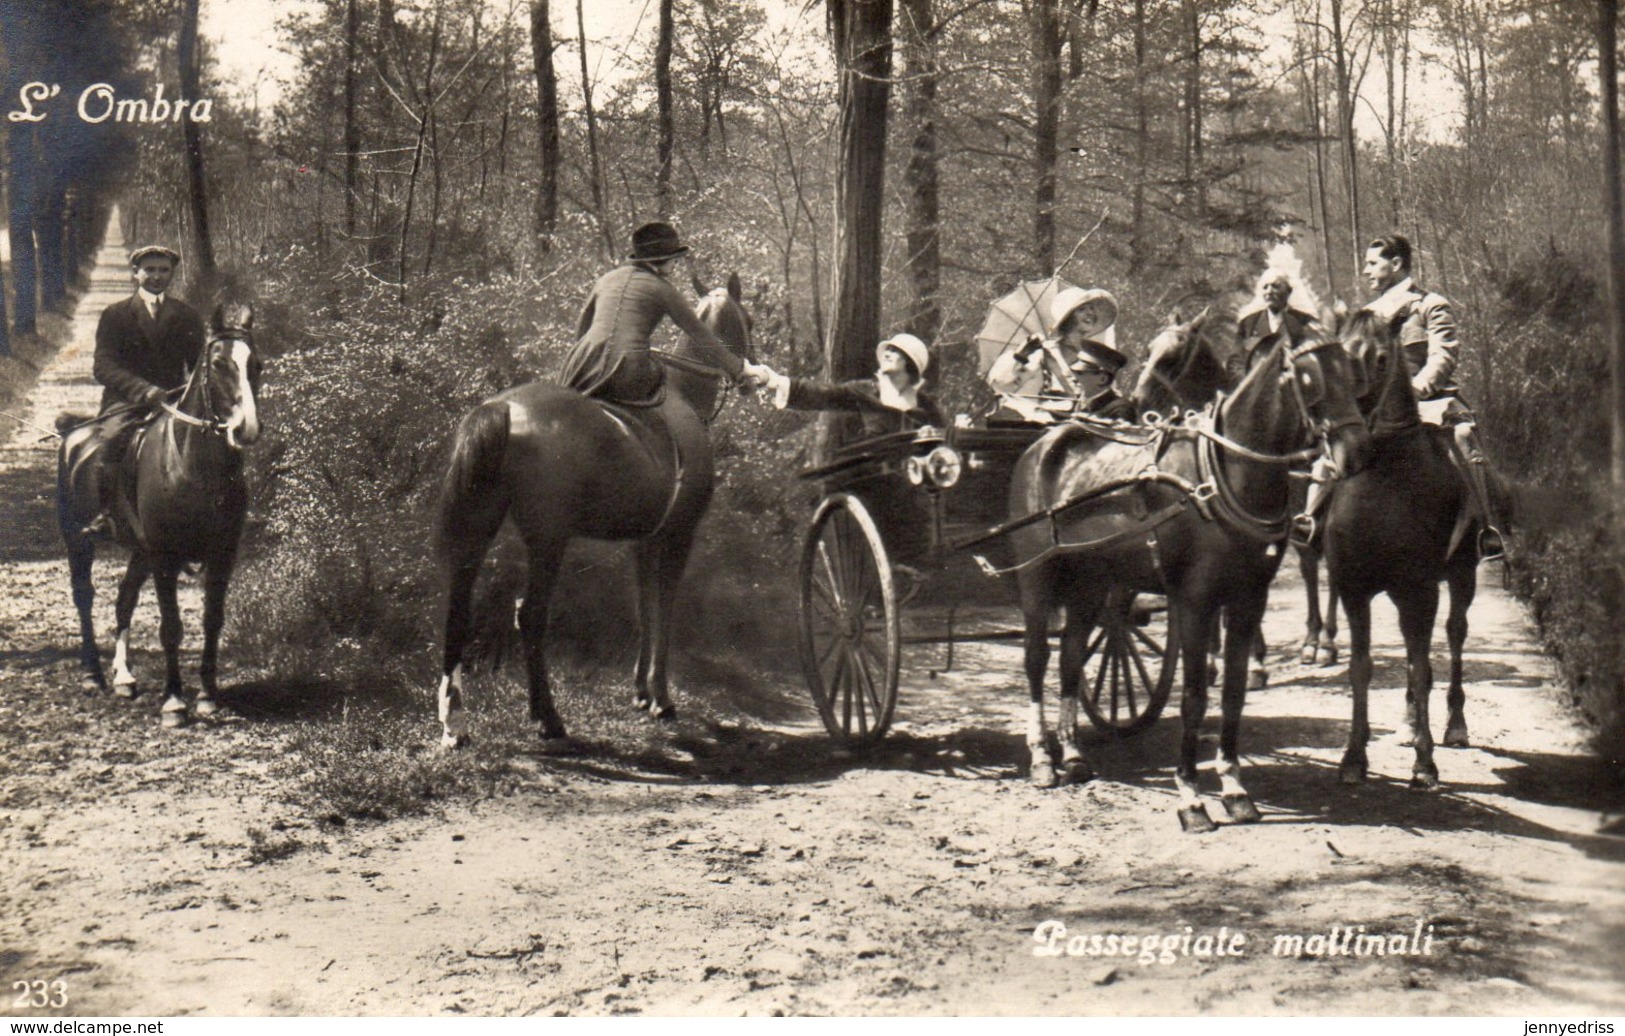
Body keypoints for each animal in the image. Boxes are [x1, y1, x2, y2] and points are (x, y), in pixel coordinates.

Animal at [54, 302, 264, 730]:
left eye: (258, 365)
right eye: (218, 363)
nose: (246, 428)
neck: (191, 464)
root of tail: (72, 433)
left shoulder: (222, 555)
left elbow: (212, 620)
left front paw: (207, 696)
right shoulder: (165, 556)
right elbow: (171, 628)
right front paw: (174, 702)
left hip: (140, 551)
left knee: (124, 599)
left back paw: (124, 678)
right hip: (78, 541)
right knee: (84, 597)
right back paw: (93, 675)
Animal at [435, 272, 757, 750]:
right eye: (748, 321)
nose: (752, 373)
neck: (685, 397)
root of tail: (502, 409)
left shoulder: (644, 540)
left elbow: (644, 605)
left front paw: (641, 692)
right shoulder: (679, 534)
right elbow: (665, 605)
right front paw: (661, 698)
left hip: (480, 525)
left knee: (458, 608)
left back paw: (453, 721)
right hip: (549, 538)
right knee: (530, 614)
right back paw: (548, 717)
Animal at [1001, 310, 1371, 837]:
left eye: (1353, 372)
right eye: (1309, 377)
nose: (1356, 450)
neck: (1222, 474)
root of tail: (1047, 441)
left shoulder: (1248, 598)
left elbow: (1233, 691)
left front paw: (1234, 788)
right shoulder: (1194, 601)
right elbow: (1194, 695)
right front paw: (1191, 797)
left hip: (1090, 582)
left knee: (1071, 655)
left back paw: (1072, 754)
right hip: (1037, 579)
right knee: (1036, 660)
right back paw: (1042, 759)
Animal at [1326, 311, 1488, 792]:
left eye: (1381, 358)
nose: (1348, 433)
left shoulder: (1420, 591)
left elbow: (1420, 666)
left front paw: (1425, 764)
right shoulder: (1355, 591)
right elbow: (1362, 668)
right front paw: (1353, 758)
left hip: (1462, 574)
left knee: (1454, 635)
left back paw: (1454, 725)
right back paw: (1409, 723)